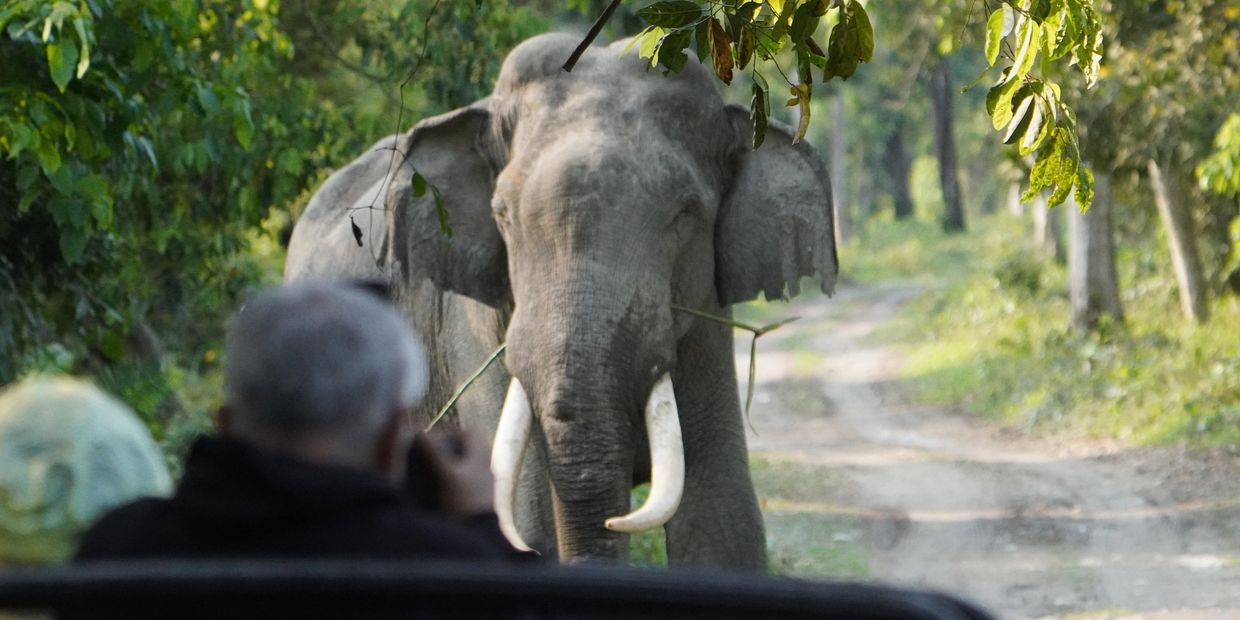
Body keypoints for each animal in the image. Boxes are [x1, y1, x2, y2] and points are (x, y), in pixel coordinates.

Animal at [284, 32, 837, 569]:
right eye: (502, 215)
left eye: (685, 214)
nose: (615, 520)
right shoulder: (477, 325)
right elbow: (528, 523)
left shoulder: (707, 319)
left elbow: (723, 524)